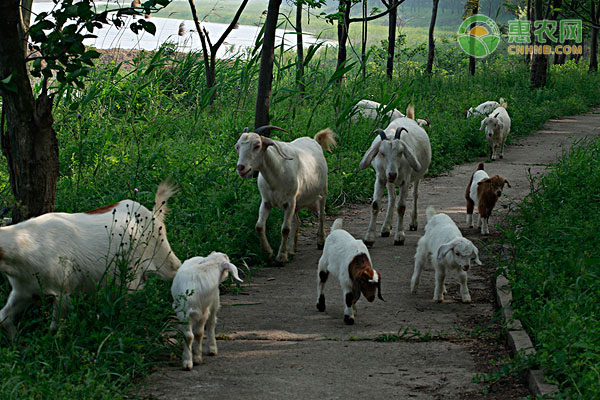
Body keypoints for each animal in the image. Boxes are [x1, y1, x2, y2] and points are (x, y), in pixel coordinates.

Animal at [1, 181, 182, 338]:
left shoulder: (63, 290)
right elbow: (3, 317)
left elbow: (55, 327)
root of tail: (153, 214)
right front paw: (15, 340)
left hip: (163, 256)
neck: (28, 244)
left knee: (178, 270)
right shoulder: (24, 290)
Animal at [236, 123, 338, 264]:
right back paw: (291, 250)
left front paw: (281, 257)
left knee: (321, 215)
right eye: (237, 146)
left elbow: (285, 229)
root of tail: (314, 140)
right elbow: (259, 226)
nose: (241, 168)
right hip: (297, 201)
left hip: (322, 192)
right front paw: (268, 252)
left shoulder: (289, 202)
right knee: (297, 222)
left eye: (257, 145)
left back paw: (320, 242)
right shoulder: (266, 202)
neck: (277, 172)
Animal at [358, 108, 434, 247]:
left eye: (401, 152)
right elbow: (375, 205)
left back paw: (413, 223)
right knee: (392, 197)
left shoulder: (405, 180)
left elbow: (401, 207)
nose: (392, 174)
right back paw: (386, 228)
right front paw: (369, 238)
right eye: (381, 153)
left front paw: (399, 237)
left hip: (417, 176)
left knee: (415, 194)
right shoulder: (381, 178)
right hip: (389, 181)